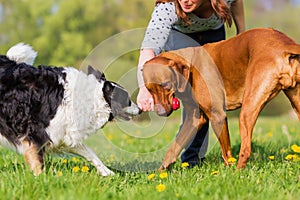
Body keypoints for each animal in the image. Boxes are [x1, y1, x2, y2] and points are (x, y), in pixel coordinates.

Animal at [0, 43, 141, 176]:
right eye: (127, 99)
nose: (140, 109)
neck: (90, 98)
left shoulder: (64, 136)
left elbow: (90, 152)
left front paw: (107, 172)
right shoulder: (35, 134)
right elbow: (38, 163)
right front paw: (41, 179)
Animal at [142, 28, 300, 170]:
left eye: (166, 85)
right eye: (149, 90)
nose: (160, 113)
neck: (191, 63)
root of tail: (285, 45)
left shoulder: (217, 115)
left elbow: (226, 153)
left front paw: (227, 173)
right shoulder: (195, 119)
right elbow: (173, 147)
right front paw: (160, 172)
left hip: (247, 111)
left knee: (246, 150)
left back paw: (237, 174)